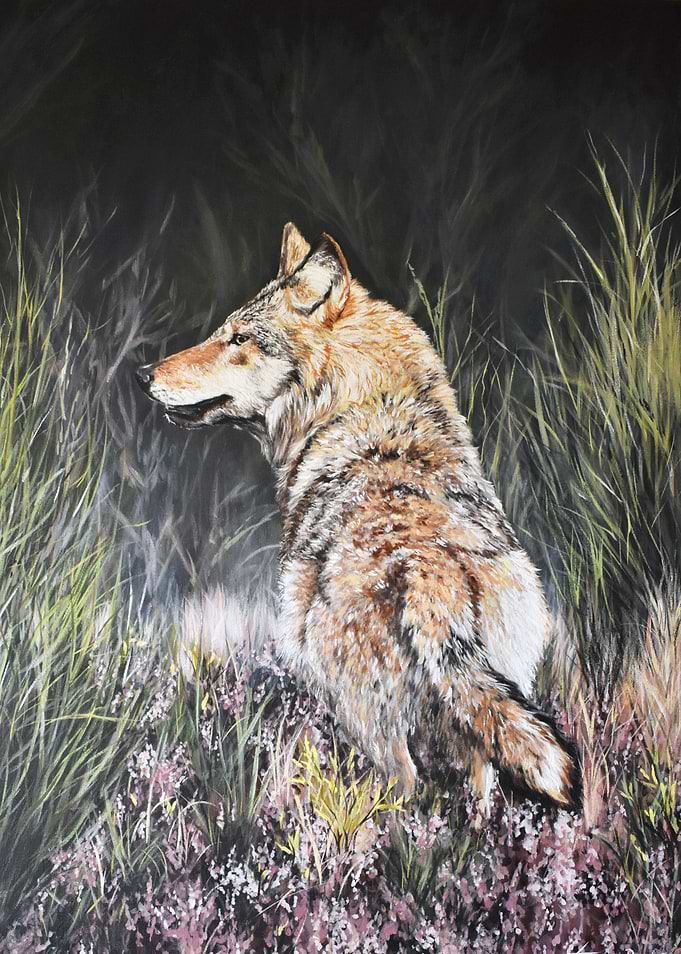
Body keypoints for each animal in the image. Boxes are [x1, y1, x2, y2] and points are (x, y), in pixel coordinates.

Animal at [136, 223, 581, 815]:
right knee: (482, 790)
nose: (143, 374)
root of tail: (427, 566)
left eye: (238, 339)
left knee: (403, 793)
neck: (357, 402)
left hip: (367, 724)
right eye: (223, 334)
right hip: (482, 708)